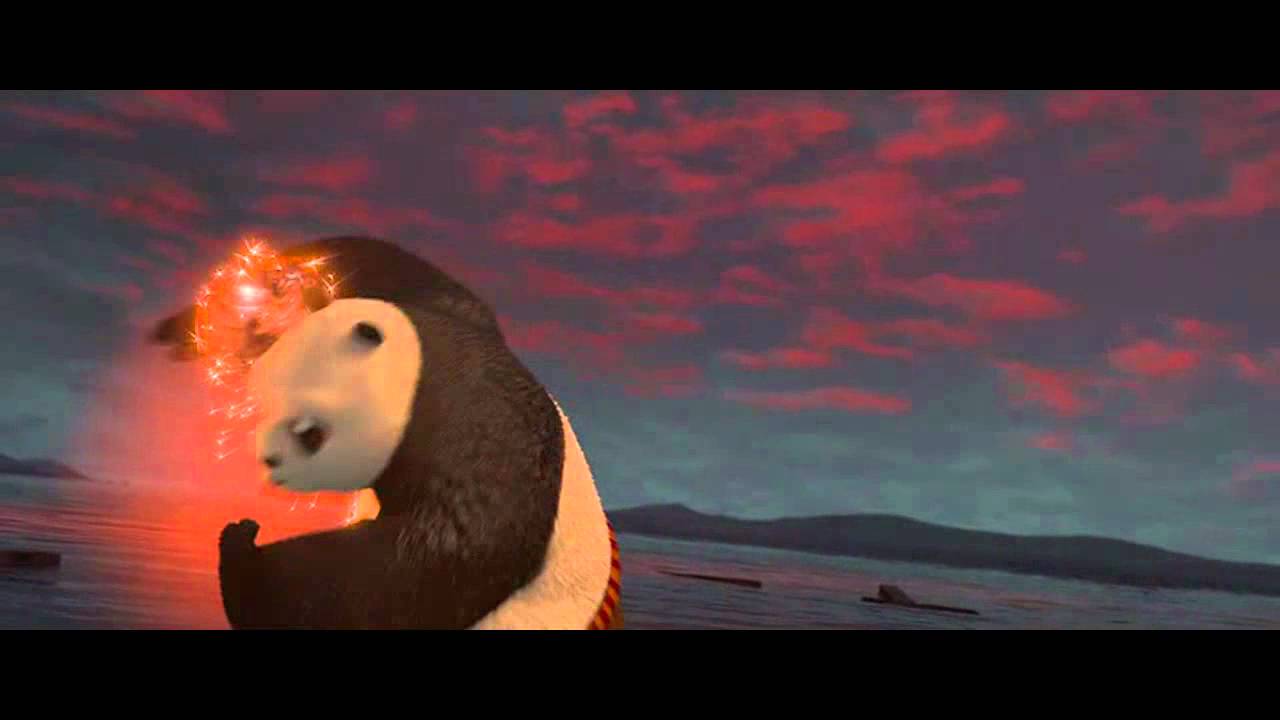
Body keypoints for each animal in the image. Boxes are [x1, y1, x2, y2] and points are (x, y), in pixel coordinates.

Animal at [151, 236, 622, 630]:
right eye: (262, 399)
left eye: (310, 433)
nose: (269, 461)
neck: (419, 379)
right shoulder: (441, 312)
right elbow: (383, 263)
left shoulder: (483, 447)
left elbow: (411, 569)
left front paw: (244, 544)